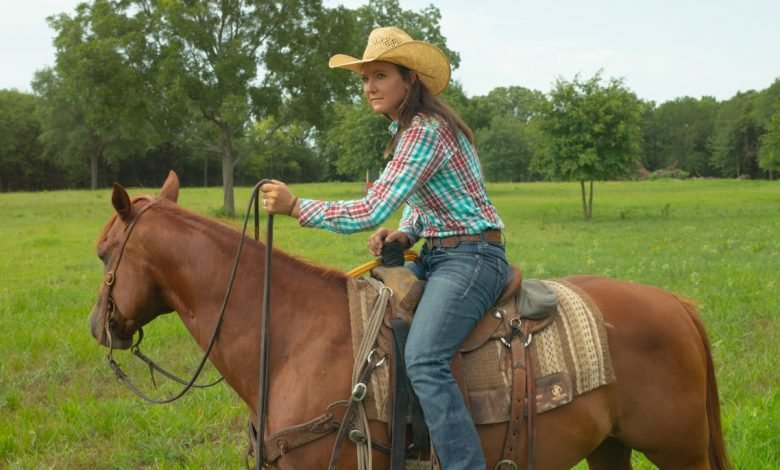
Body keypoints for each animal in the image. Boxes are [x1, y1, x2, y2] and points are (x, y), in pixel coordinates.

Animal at [91, 173, 732, 470]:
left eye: (102, 254)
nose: (100, 327)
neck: (292, 339)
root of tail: (679, 305)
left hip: (679, 450)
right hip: (611, 446)